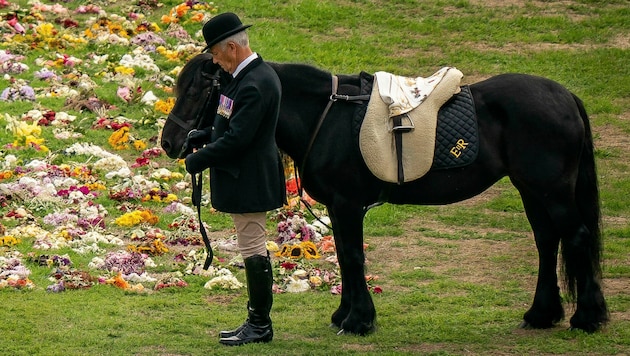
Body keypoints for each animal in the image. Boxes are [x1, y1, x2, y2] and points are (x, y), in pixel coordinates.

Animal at [160, 52, 608, 334]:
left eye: (197, 91)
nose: (170, 143)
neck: (326, 115)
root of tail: (565, 97)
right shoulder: (339, 207)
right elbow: (345, 257)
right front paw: (345, 315)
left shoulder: (346, 204)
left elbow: (353, 257)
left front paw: (358, 321)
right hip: (532, 190)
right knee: (548, 241)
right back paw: (542, 314)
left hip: (550, 191)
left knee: (576, 237)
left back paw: (587, 316)